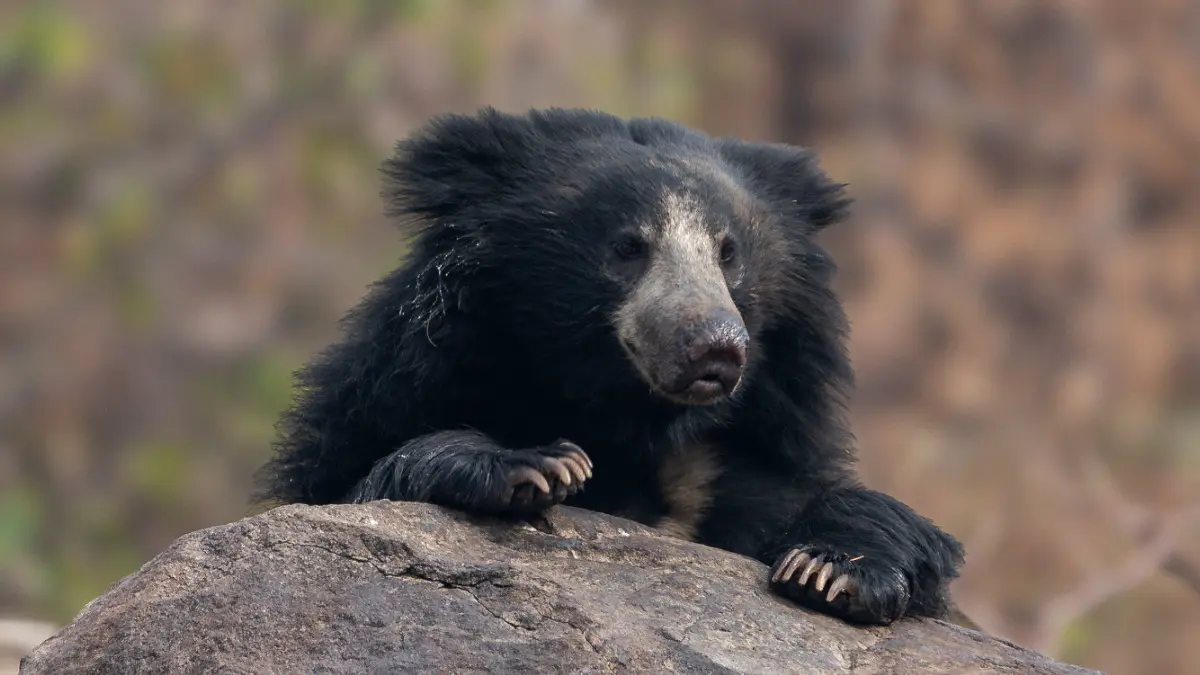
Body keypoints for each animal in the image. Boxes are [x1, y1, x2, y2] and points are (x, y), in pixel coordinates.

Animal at [253, 106, 965, 626]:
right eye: (628, 248)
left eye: (728, 252)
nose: (715, 347)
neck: (633, 421)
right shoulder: (397, 390)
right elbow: (366, 479)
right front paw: (539, 466)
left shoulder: (736, 462)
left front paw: (832, 568)